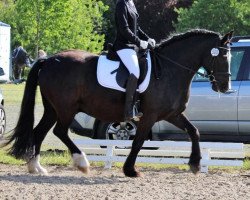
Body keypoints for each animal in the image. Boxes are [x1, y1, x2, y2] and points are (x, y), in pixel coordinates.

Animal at [3, 29, 233, 177]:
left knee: (39, 132)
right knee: (59, 131)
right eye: (223, 57)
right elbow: (138, 142)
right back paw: (82, 163)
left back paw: (36, 168)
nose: (225, 87)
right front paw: (130, 170)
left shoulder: (171, 114)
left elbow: (194, 131)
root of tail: (49, 60)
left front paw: (195, 164)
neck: (169, 69)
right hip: (66, 108)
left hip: (52, 108)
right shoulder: (149, 116)